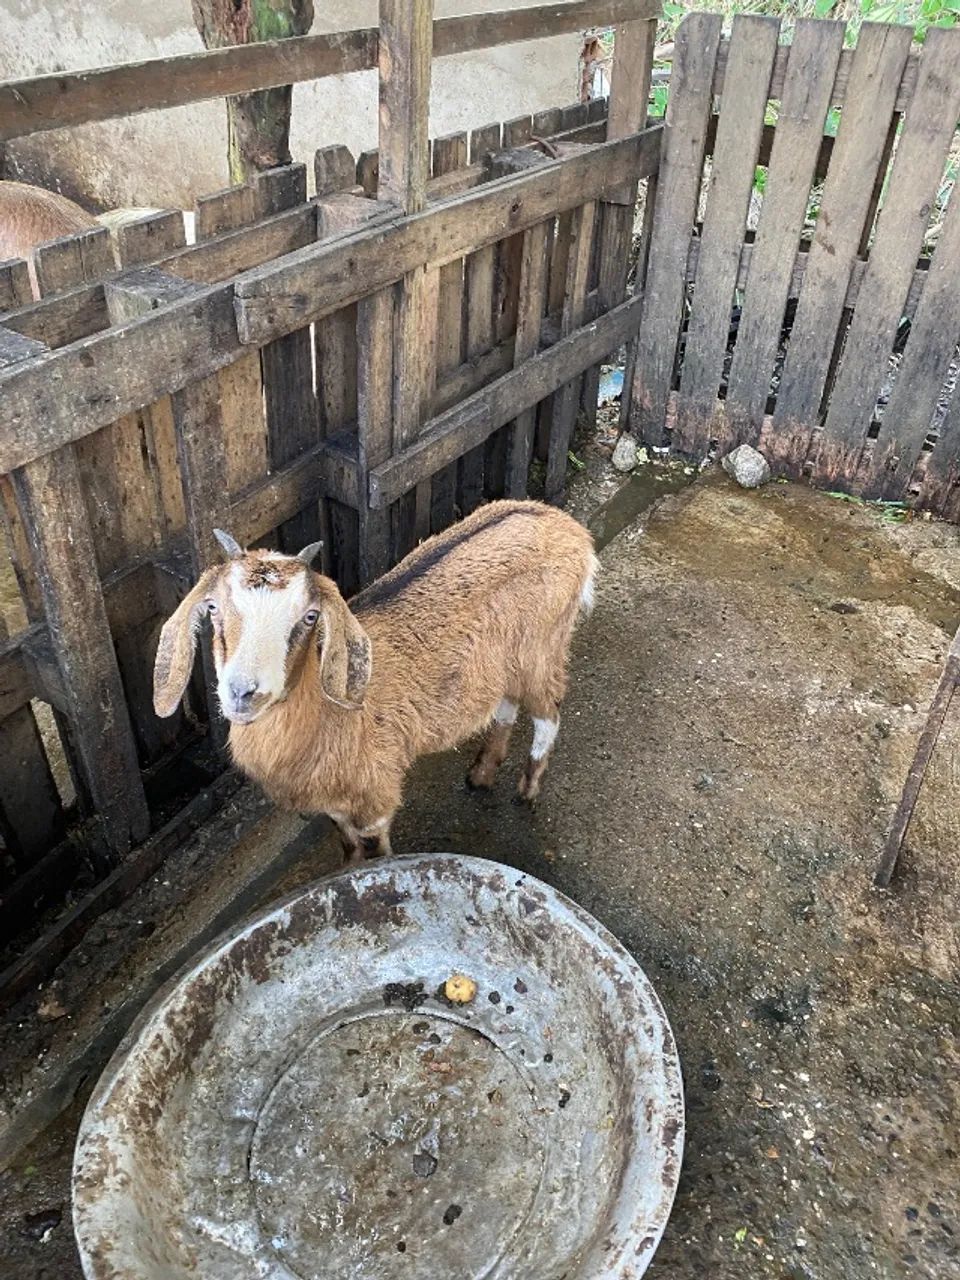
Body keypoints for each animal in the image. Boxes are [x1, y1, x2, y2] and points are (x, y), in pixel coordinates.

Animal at [153, 500, 597, 862]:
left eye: (310, 617)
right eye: (213, 607)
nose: (244, 692)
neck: (326, 717)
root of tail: (568, 527)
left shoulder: (374, 792)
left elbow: (373, 849)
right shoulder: (334, 800)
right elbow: (346, 843)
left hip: (542, 647)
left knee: (549, 710)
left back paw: (527, 789)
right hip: (504, 662)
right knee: (506, 702)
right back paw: (482, 773)